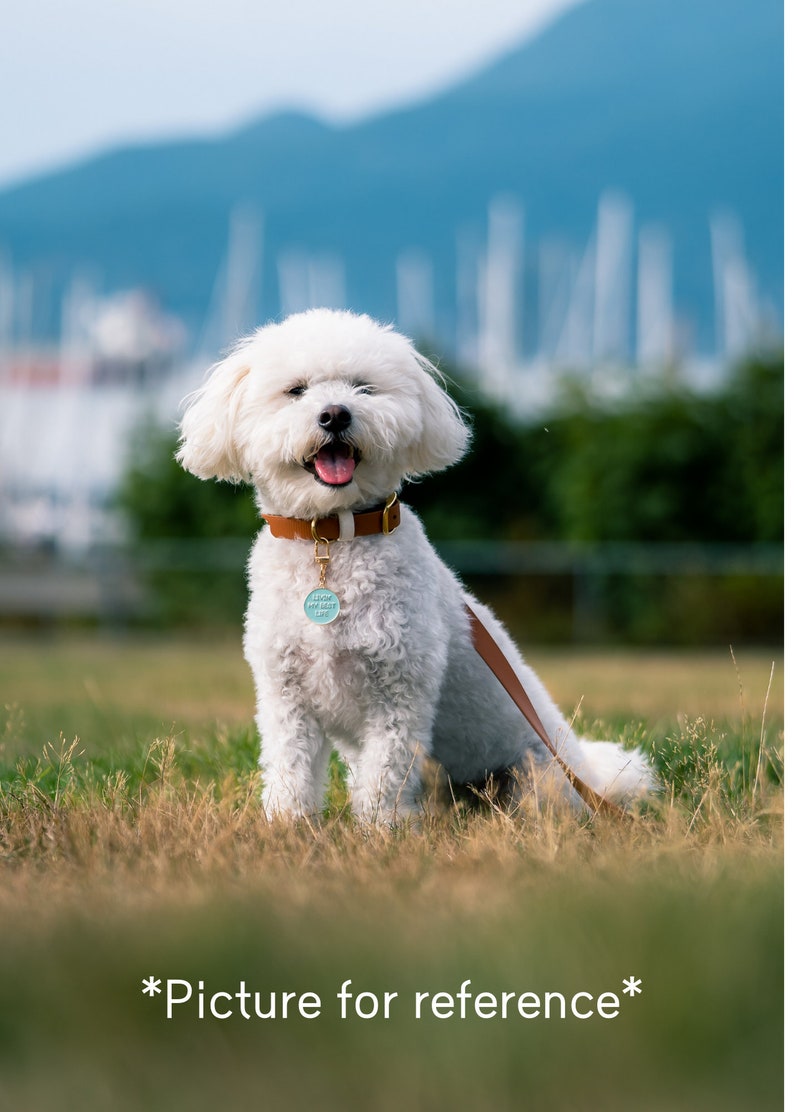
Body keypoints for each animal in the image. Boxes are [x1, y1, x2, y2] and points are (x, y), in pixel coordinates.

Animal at [179, 309, 653, 822]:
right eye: (296, 390)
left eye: (363, 387)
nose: (335, 414)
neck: (334, 539)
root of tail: (587, 772)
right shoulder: (286, 698)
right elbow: (290, 770)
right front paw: (288, 825)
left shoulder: (399, 694)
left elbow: (384, 777)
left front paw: (379, 830)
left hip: (535, 778)